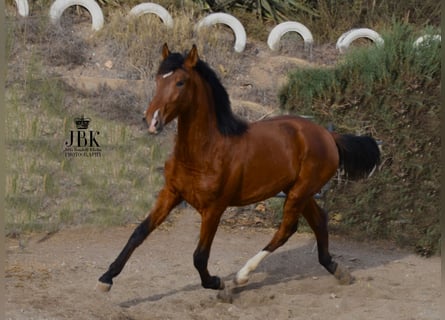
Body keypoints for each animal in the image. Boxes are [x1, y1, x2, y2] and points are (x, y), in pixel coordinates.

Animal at [97, 43, 378, 294]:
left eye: (180, 82)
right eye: (158, 79)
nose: (151, 121)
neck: (205, 152)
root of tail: (329, 135)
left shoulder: (214, 209)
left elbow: (199, 256)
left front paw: (217, 283)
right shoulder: (171, 193)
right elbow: (139, 232)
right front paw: (106, 279)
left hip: (300, 192)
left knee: (287, 230)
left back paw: (241, 277)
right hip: (300, 192)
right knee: (318, 221)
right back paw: (337, 270)